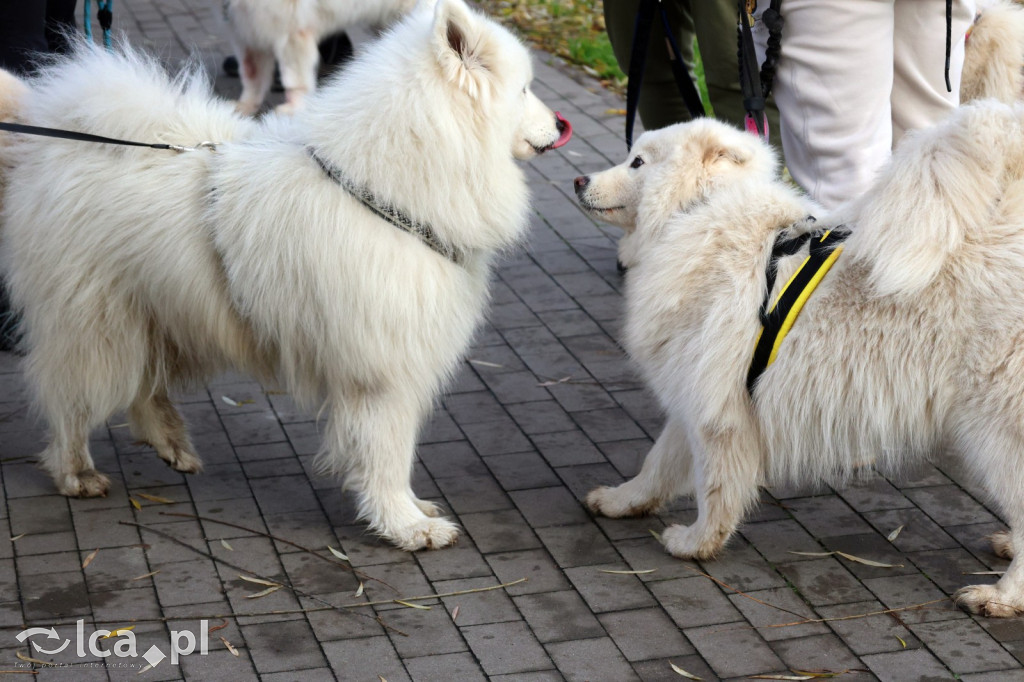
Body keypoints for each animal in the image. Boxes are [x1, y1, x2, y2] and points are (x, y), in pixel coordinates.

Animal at [224, 0, 415, 113]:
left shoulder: (290, 32)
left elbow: (295, 79)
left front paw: (293, 108)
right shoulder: (247, 30)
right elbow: (252, 75)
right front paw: (245, 106)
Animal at [577, 102, 1024, 614]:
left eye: (637, 162)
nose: (578, 180)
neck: (696, 213)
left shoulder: (716, 413)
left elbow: (713, 489)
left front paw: (695, 543)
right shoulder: (695, 395)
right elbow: (657, 465)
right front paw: (622, 501)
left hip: (994, 430)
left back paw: (1001, 595)